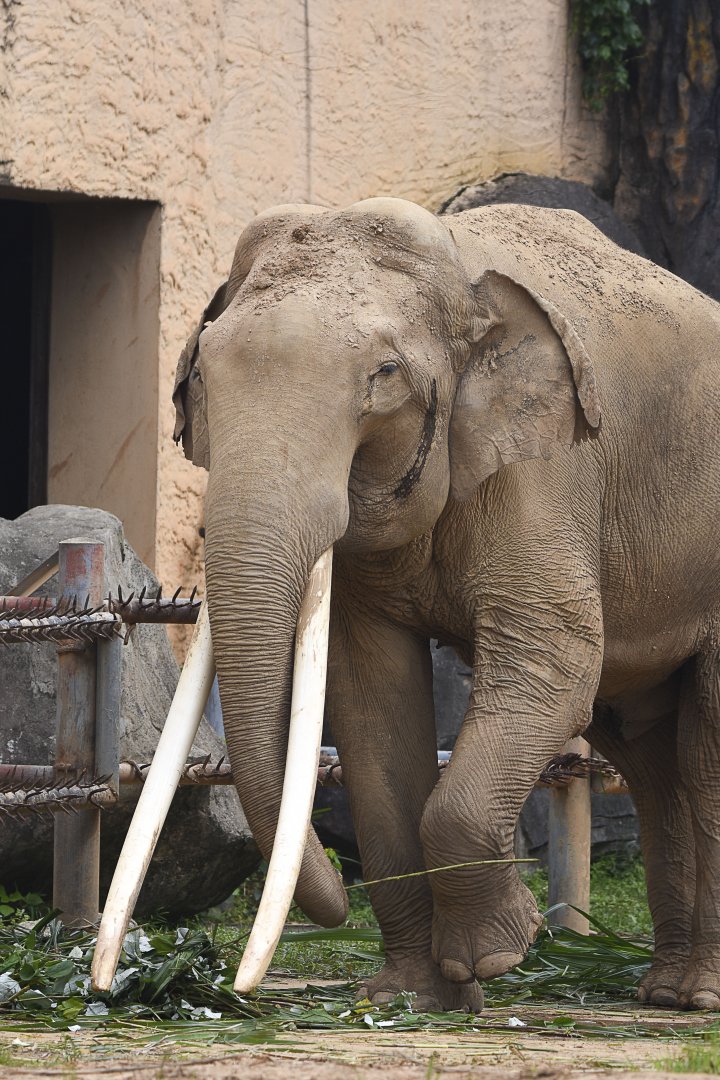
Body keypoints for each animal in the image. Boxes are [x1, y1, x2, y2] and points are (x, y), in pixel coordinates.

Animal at [173, 196, 720, 1013]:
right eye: (203, 370)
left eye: (385, 374)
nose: (333, 907)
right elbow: (370, 696)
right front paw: (410, 998)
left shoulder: (547, 467)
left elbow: (552, 661)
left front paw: (496, 955)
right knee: (653, 756)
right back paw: (662, 991)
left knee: (702, 746)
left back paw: (696, 997)